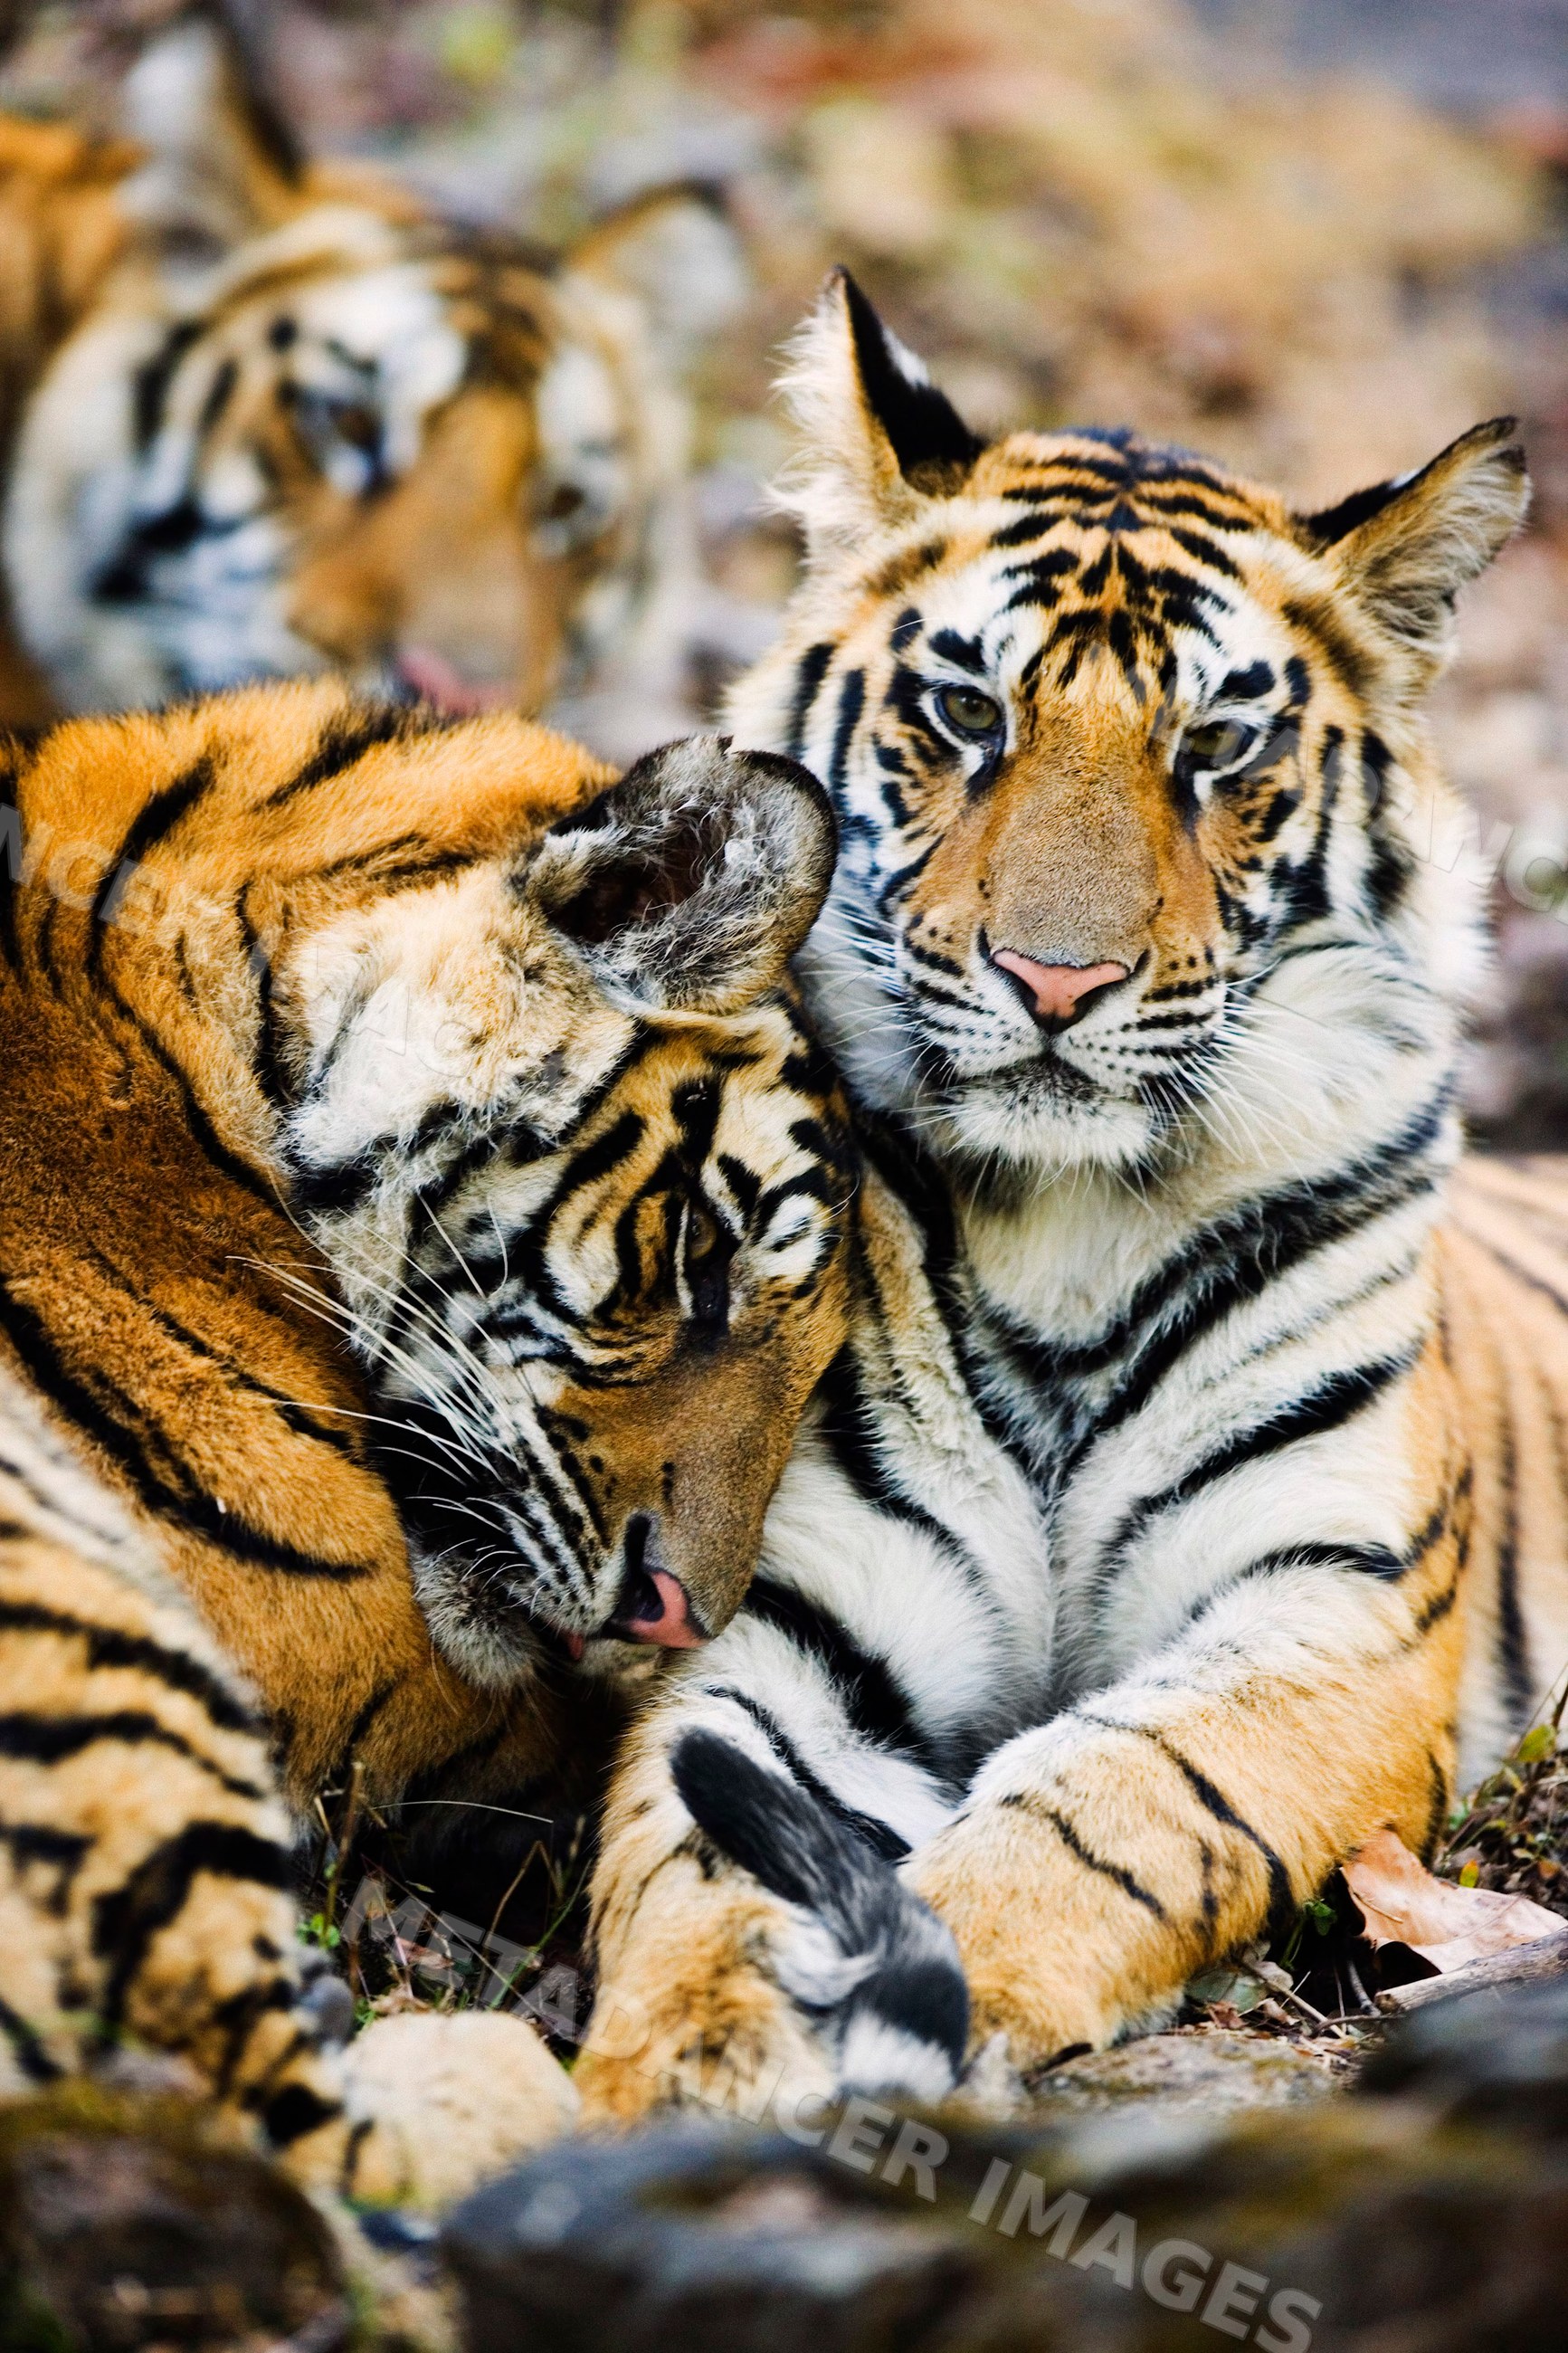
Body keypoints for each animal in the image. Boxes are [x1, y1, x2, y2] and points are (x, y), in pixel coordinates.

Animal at [570, 269, 1568, 2126]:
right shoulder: (798, 1612)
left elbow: (1115, 1806)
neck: (1067, 1229)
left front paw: (938, 1989)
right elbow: (698, 1846)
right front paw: (679, 2065)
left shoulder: (1327, 1612)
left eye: (1218, 743)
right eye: (967, 715)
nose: (1055, 979)